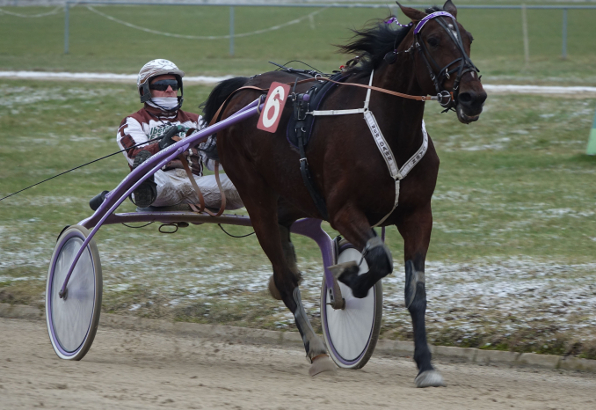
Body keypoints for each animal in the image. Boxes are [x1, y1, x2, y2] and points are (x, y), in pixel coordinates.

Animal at [203, 1, 486, 386]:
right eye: (433, 39)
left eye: (468, 37)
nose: (473, 97)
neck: (389, 128)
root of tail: (242, 91)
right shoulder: (343, 211)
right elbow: (379, 259)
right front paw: (350, 277)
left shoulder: (418, 215)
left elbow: (416, 293)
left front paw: (426, 365)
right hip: (256, 197)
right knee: (286, 278)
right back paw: (317, 350)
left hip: (289, 201)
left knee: (284, 261)